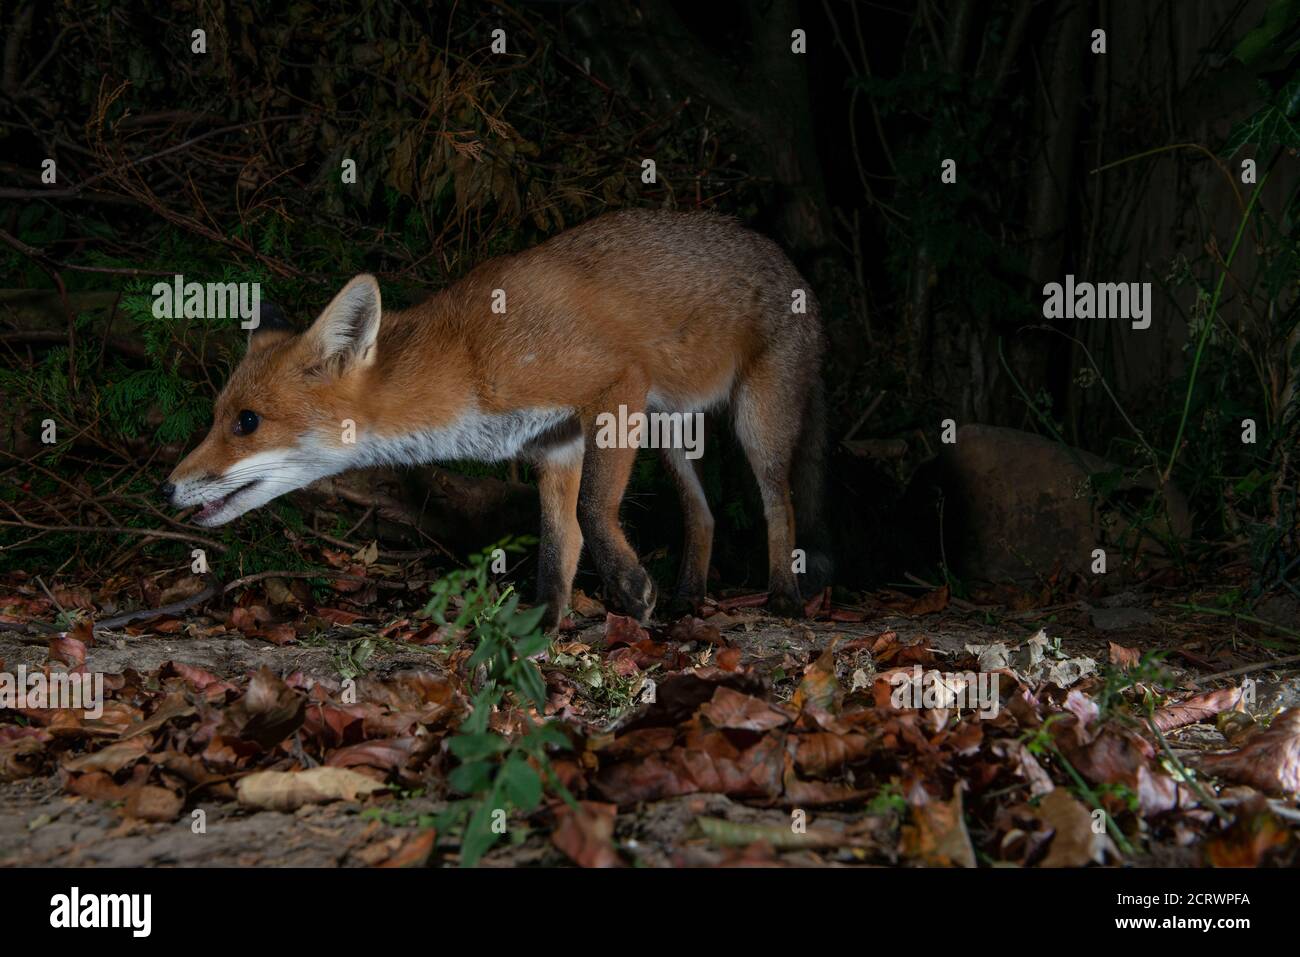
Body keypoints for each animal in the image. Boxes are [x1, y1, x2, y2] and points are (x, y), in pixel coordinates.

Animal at [162, 209, 831, 627]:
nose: (167, 487)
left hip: (754, 424)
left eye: (247, 422)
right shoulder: (556, 441)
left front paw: (629, 590)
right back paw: (691, 596)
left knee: (779, 504)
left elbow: (594, 511)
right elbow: (562, 543)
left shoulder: (615, 384)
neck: (467, 356)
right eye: (218, 416)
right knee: (704, 514)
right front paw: (547, 624)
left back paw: (784, 595)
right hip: (669, 432)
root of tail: (788, 262)